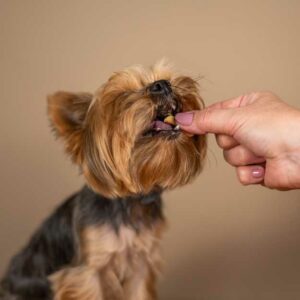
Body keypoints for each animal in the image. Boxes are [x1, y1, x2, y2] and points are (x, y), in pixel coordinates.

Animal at [0, 61, 206, 300]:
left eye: (167, 78)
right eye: (123, 96)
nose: (162, 85)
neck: (130, 203)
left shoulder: (140, 266)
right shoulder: (87, 273)